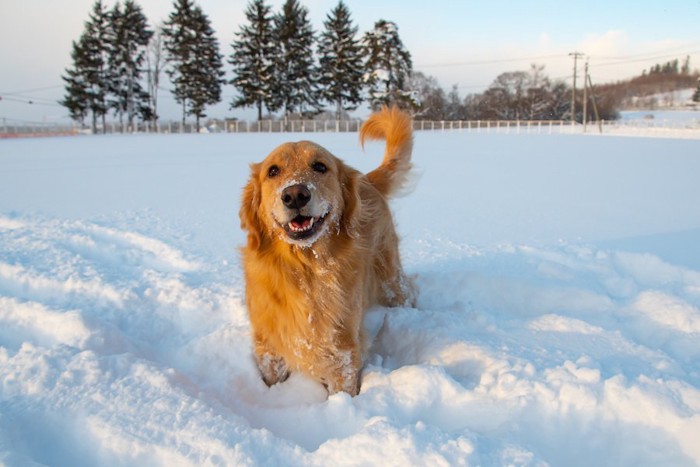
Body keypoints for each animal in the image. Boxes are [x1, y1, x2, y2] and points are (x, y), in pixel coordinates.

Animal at [241, 108, 416, 396]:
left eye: (320, 167)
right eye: (273, 171)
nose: (295, 194)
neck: (305, 268)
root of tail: (366, 179)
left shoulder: (342, 349)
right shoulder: (268, 344)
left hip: (390, 276)